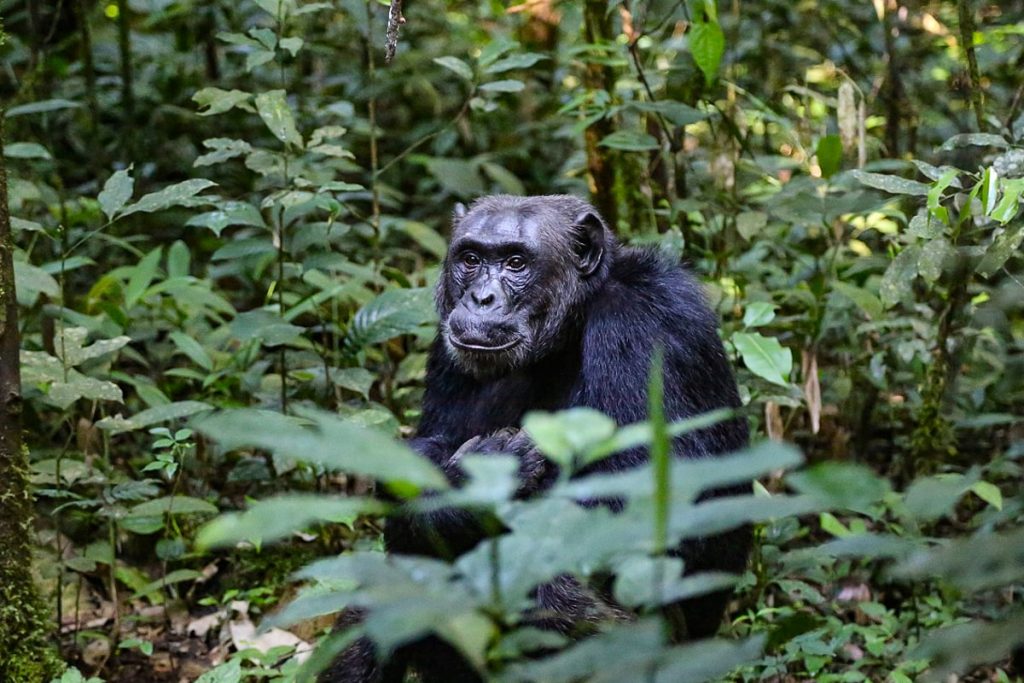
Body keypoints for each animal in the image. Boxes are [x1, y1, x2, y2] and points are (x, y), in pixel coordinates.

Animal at [321, 193, 753, 683]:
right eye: (471, 259)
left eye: (515, 262)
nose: (482, 298)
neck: (570, 326)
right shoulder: (446, 350)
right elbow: (426, 452)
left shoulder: (645, 326)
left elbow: (659, 502)